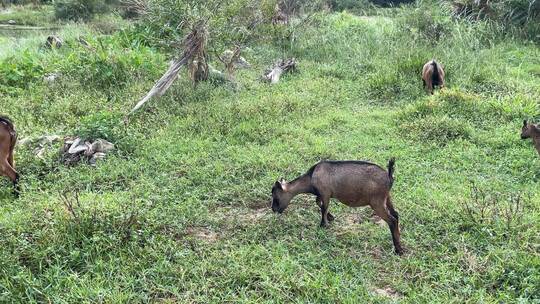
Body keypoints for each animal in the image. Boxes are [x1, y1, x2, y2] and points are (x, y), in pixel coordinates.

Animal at [272, 158, 402, 255]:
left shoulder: (325, 194)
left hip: (377, 202)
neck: (311, 177)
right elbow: (318, 203)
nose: (274, 209)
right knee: (396, 214)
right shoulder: (321, 194)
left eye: (276, 197)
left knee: (392, 220)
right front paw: (330, 218)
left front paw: (323, 225)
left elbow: (323, 207)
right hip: (387, 198)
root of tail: (389, 176)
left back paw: (398, 250)